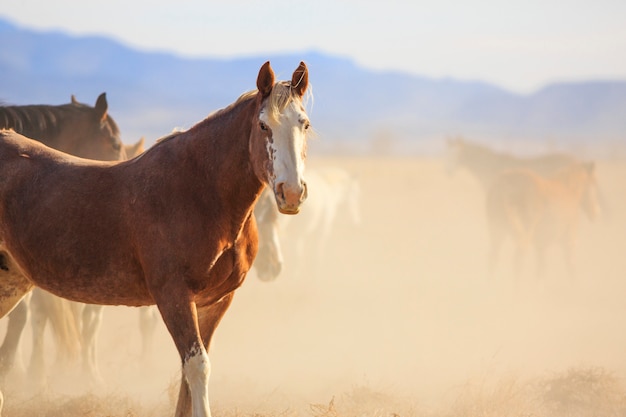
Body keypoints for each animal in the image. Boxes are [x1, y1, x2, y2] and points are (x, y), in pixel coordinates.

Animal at [0, 59, 310, 416]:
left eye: (304, 124)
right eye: (263, 126)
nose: (291, 193)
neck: (199, 192)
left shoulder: (216, 301)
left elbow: (190, 375)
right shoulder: (173, 295)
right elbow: (197, 367)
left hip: (12, 282)